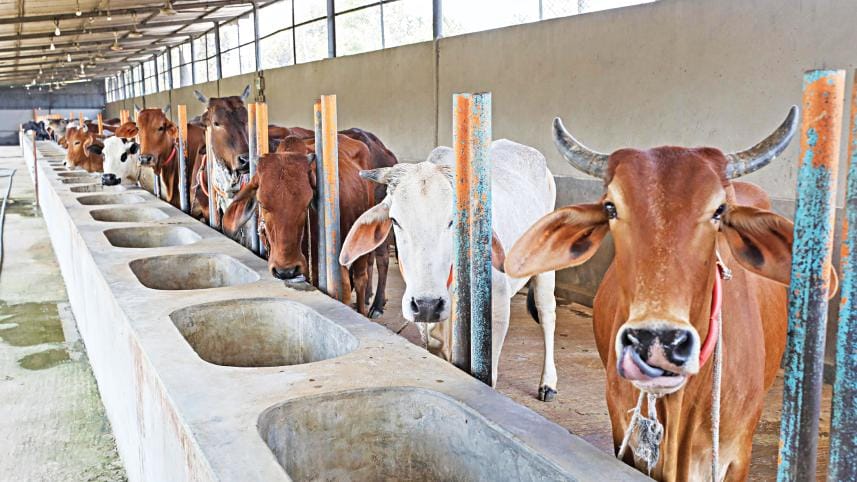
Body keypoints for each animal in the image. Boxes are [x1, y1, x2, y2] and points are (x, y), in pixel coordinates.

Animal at [337, 139, 560, 400]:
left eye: (454, 220)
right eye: (395, 220)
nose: (428, 304)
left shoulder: (496, 315)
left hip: (546, 263)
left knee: (546, 314)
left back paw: (548, 384)